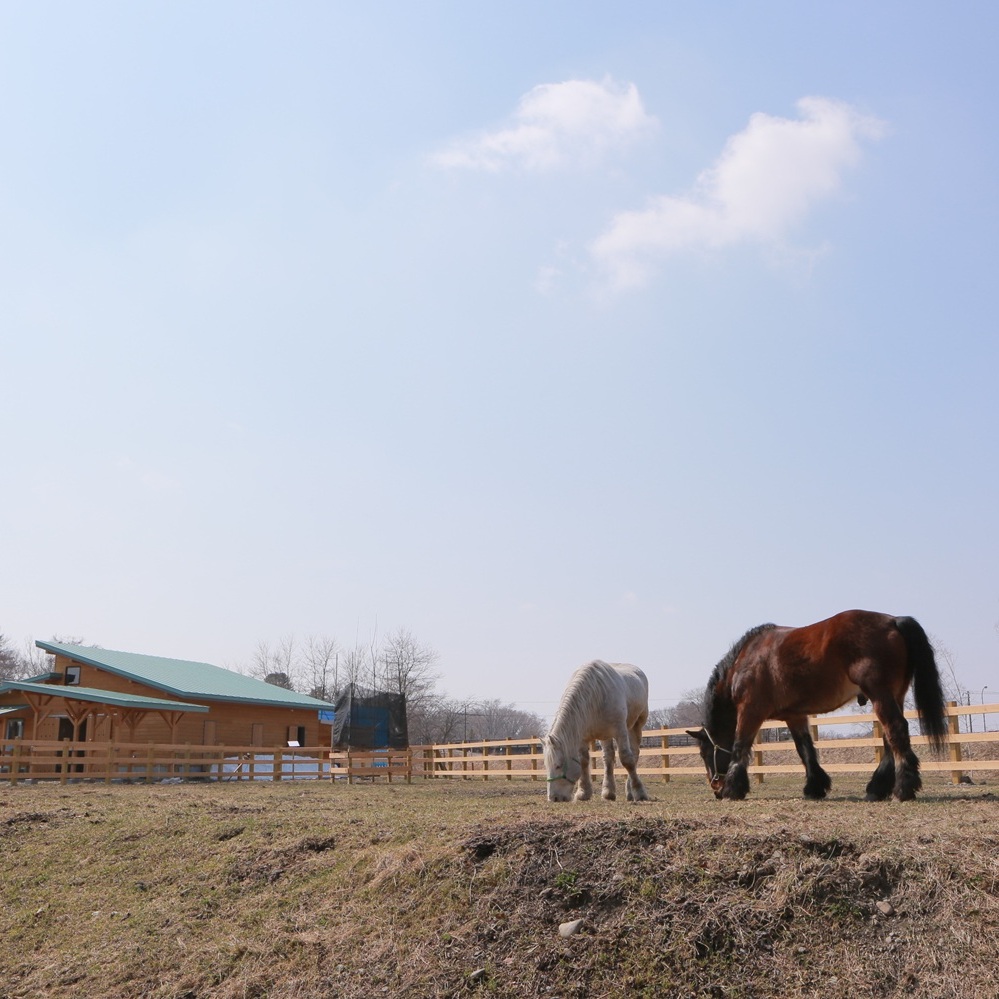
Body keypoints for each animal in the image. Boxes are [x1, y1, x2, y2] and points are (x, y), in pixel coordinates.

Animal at [543, 660, 651, 803]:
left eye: (558, 765)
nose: (554, 798)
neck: (596, 697)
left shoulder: (620, 731)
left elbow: (627, 759)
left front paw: (640, 792)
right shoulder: (583, 738)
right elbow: (584, 761)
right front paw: (583, 792)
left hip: (636, 725)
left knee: (634, 753)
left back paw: (630, 792)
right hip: (605, 735)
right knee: (608, 758)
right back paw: (608, 792)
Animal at [687, 610, 948, 802]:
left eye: (704, 753)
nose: (716, 789)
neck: (745, 662)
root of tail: (893, 620)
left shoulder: (750, 710)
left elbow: (740, 746)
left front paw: (734, 788)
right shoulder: (795, 716)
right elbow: (805, 750)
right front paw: (815, 786)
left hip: (880, 694)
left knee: (896, 730)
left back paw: (903, 788)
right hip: (894, 696)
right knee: (889, 739)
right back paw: (878, 787)